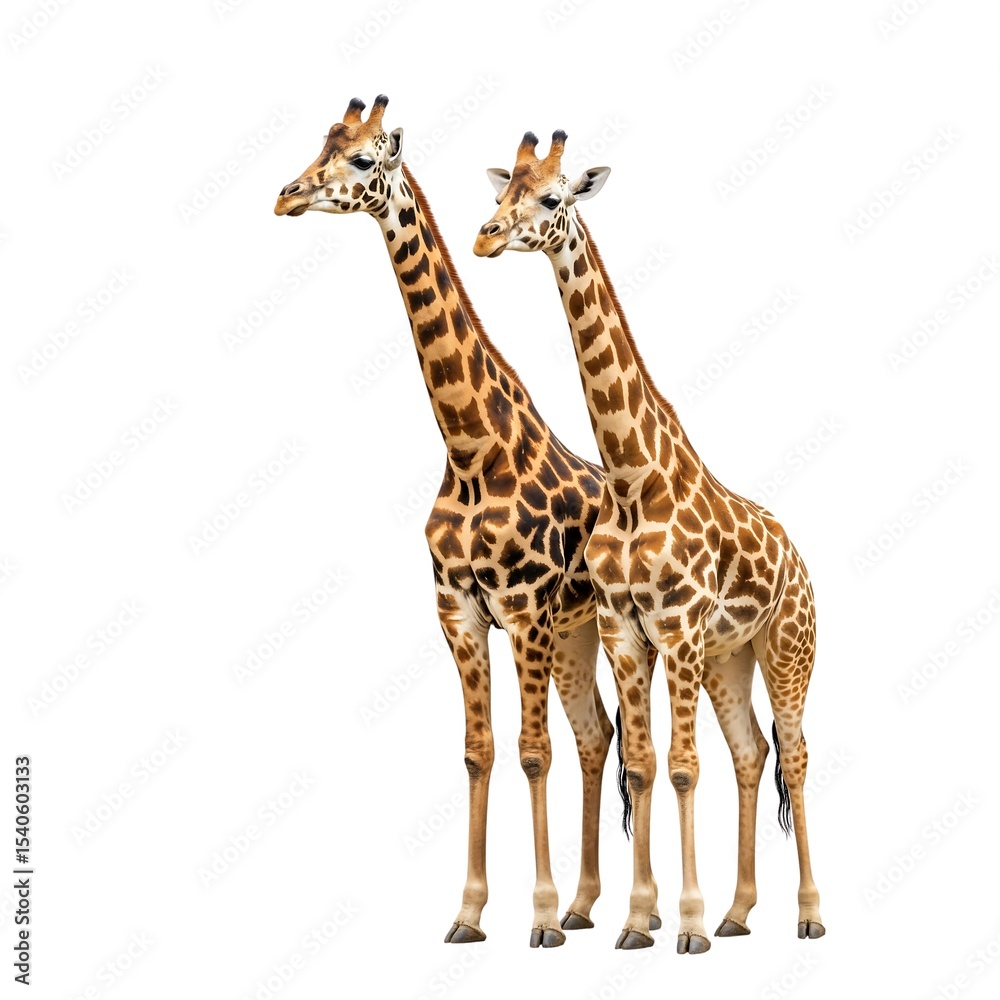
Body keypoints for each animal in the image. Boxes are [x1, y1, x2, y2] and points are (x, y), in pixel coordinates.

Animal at [274, 98, 635, 948]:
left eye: (363, 160)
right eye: (320, 145)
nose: (286, 196)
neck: (471, 448)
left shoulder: (524, 611)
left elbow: (531, 751)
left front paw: (537, 918)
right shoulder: (458, 611)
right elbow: (478, 751)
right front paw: (469, 914)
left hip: (589, 628)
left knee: (598, 737)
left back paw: (581, 908)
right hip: (574, 634)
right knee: (595, 733)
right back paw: (586, 903)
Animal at [473, 131, 825, 952]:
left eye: (552, 198)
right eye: (502, 194)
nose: (488, 236)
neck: (635, 479)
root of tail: (800, 559)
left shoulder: (679, 628)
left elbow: (682, 766)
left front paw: (684, 927)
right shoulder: (625, 631)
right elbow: (639, 765)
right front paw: (639, 921)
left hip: (787, 651)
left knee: (795, 755)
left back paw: (809, 915)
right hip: (731, 657)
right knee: (752, 752)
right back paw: (738, 914)